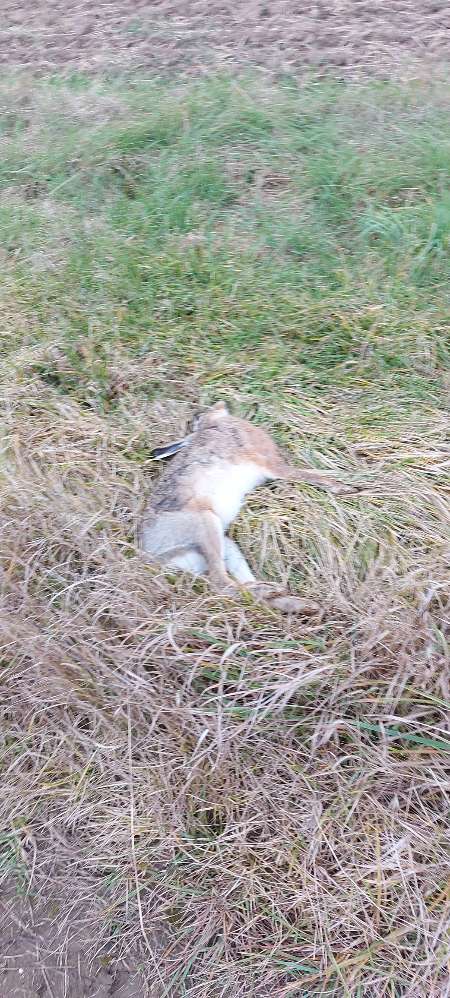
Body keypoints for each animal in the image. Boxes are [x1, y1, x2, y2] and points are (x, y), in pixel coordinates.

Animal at [139, 402, 351, 613]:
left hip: (226, 545)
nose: (217, 405)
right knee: (221, 584)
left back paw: (300, 603)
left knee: (244, 588)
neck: (214, 424)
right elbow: (302, 474)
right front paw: (343, 487)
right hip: (205, 523)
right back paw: (279, 594)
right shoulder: (270, 462)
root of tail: (154, 555)